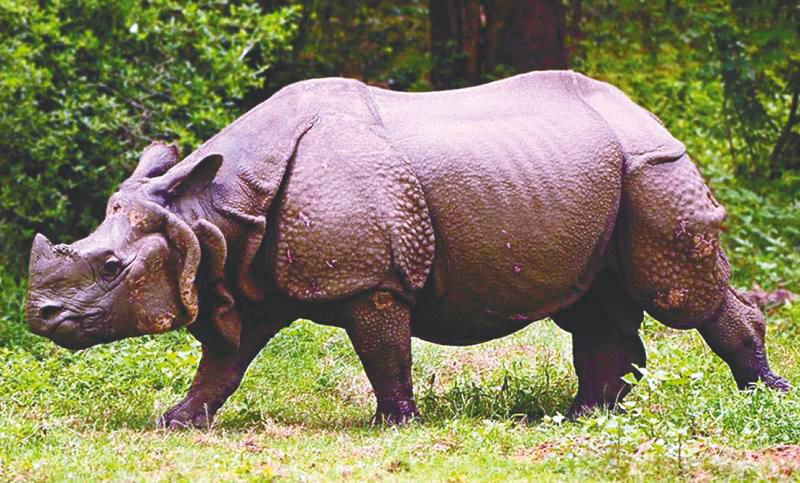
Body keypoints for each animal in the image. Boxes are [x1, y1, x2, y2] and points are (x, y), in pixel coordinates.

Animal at [26, 71, 788, 428]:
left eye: (110, 267)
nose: (38, 316)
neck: (209, 212)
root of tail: (643, 112)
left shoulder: (371, 278)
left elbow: (383, 351)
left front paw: (392, 424)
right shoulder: (243, 275)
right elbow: (222, 363)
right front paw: (176, 422)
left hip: (653, 166)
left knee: (680, 295)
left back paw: (765, 399)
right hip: (599, 174)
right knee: (594, 306)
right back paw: (585, 416)